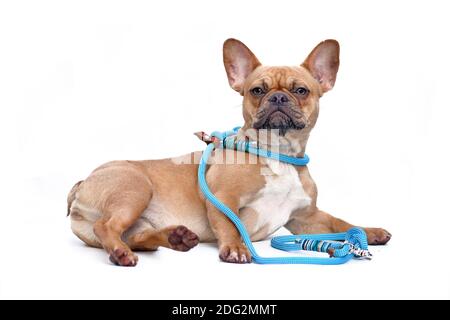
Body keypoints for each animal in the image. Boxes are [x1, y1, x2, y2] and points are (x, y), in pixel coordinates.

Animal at [67, 38, 390, 266]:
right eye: (257, 90)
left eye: (301, 91)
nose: (278, 97)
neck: (277, 155)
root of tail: (83, 182)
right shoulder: (222, 198)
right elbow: (229, 225)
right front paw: (235, 248)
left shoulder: (307, 218)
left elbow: (340, 222)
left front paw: (367, 231)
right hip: (135, 189)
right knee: (107, 226)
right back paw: (121, 252)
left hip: (138, 218)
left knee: (139, 237)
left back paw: (175, 237)